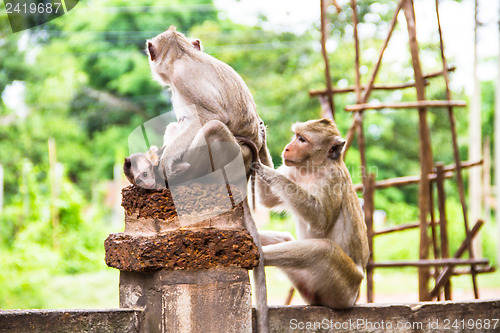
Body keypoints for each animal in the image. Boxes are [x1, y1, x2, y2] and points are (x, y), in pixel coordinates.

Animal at [145, 26, 272, 332]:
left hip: (230, 157)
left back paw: (183, 175)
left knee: (213, 128)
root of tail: (245, 170)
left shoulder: (183, 80)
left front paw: (163, 164)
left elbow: (210, 117)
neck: (182, 54)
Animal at [256, 118, 370, 308]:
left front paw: (264, 169)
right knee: (284, 239)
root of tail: (356, 296)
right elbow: (268, 198)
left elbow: (321, 220)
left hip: (344, 288)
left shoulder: (332, 178)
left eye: (302, 140)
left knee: (322, 250)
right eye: (296, 136)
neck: (313, 167)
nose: (287, 148)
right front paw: (261, 140)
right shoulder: (293, 170)